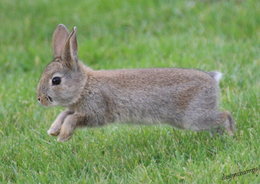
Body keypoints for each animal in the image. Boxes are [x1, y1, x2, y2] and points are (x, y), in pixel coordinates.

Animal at [37, 24, 236, 142]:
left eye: (56, 80)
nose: (40, 99)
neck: (84, 85)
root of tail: (212, 79)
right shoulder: (76, 107)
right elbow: (64, 114)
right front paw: (53, 131)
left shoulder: (96, 111)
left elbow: (72, 118)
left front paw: (63, 136)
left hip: (194, 117)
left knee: (225, 115)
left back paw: (231, 135)